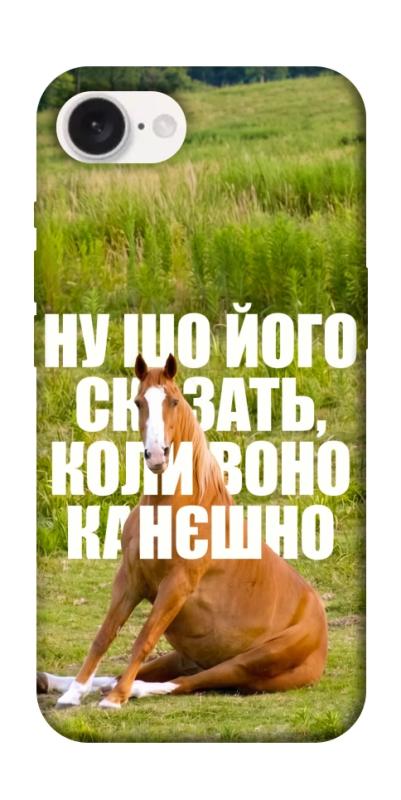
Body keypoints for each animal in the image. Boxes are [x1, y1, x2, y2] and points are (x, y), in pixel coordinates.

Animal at [37, 353, 328, 709]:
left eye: (173, 401)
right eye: (138, 402)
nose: (156, 455)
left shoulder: (176, 586)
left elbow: (144, 639)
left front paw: (114, 700)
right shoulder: (130, 578)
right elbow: (104, 634)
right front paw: (74, 692)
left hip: (249, 662)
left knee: (190, 682)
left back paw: (127, 691)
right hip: (187, 655)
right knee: (149, 673)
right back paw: (54, 682)